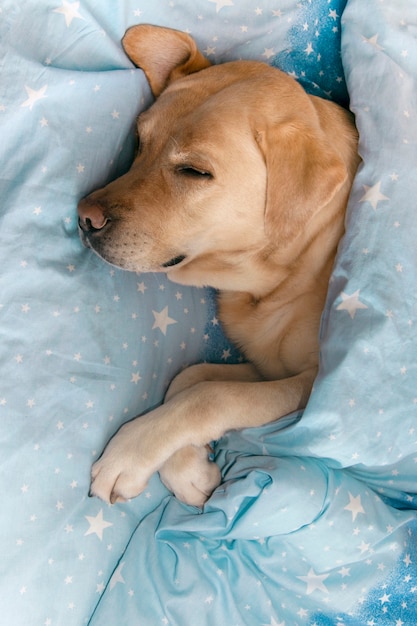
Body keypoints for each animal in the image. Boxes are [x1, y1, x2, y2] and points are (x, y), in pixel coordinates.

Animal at [77, 24, 358, 508]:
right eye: (140, 142)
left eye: (194, 171)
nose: (84, 217)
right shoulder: (267, 367)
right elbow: (189, 378)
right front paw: (188, 469)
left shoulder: (313, 387)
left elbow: (210, 395)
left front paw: (130, 455)